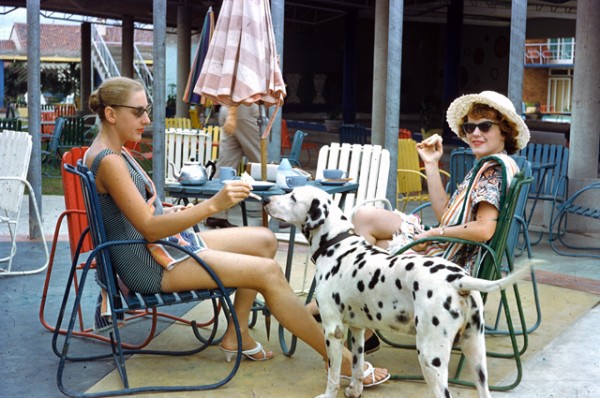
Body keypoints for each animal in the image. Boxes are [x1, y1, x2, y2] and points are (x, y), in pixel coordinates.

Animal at [264, 187, 528, 398]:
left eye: (293, 197)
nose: (266, 199)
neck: (336, 245)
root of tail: (459, 280)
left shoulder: (333, 330)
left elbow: (333, 373)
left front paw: (329, 394)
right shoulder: (357, 329)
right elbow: (357, 366)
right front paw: (355, 390)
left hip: (430, 357)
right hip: (475, 354)